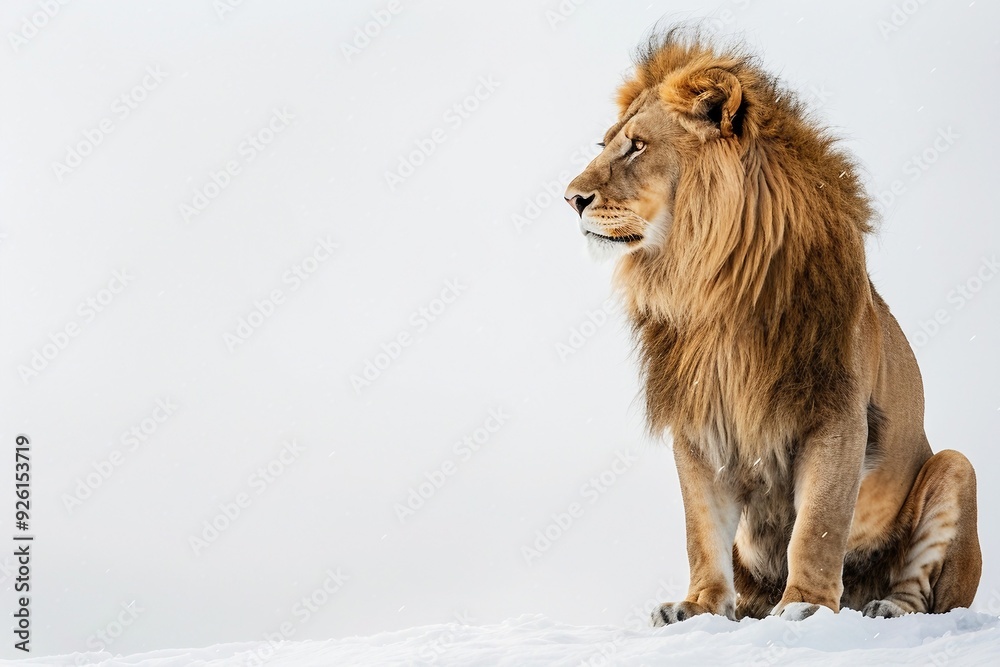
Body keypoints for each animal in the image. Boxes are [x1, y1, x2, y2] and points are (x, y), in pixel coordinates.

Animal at [564, 28, 981, 623]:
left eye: (638, 146)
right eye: (606, 145)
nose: (571, 199)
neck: (710, 288)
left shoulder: (836, 412)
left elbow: (819, 525)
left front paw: (806, 605)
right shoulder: (698, 422)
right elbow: (701, 529)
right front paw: (698, 606)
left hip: (956, 467)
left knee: (924, 592)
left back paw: (883, 608)